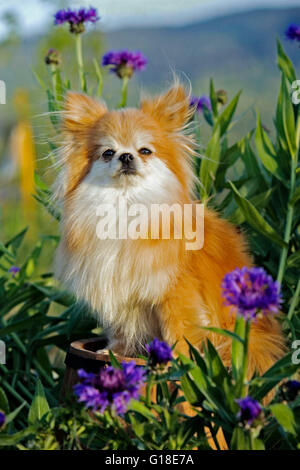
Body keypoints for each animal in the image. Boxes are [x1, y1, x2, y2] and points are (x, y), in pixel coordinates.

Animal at [54, 82, 286, 376]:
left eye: (145, 151)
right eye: (108, 153)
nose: (126, 156)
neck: (127, 206)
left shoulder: (175, 292)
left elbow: (181, 330)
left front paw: (181, 361)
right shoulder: (121, 293)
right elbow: (120, 331)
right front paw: (112, 353)